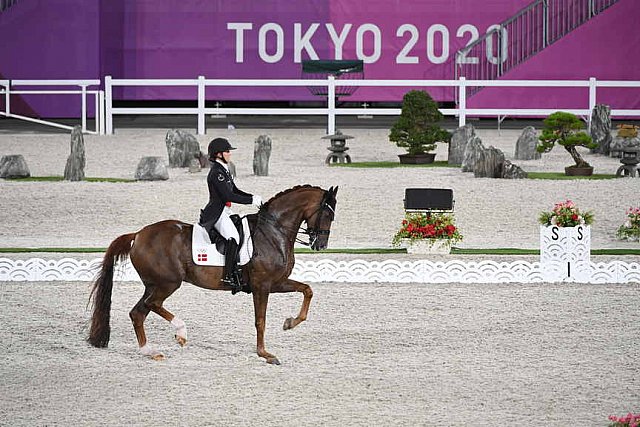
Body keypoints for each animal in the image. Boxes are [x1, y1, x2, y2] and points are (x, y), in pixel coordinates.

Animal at [89, 184, 340, 364]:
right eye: (328, 215)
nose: (320, 245)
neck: (273, 231)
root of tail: (138, 234)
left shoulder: (276, 282)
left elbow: (307, 290)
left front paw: (290, 323)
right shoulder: (262, 285)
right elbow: (260, 320)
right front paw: (265, 354)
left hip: (154, 284)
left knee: (138, 313)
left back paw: (150, 351)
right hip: (168, 283)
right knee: (151, 305)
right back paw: (181, 333)